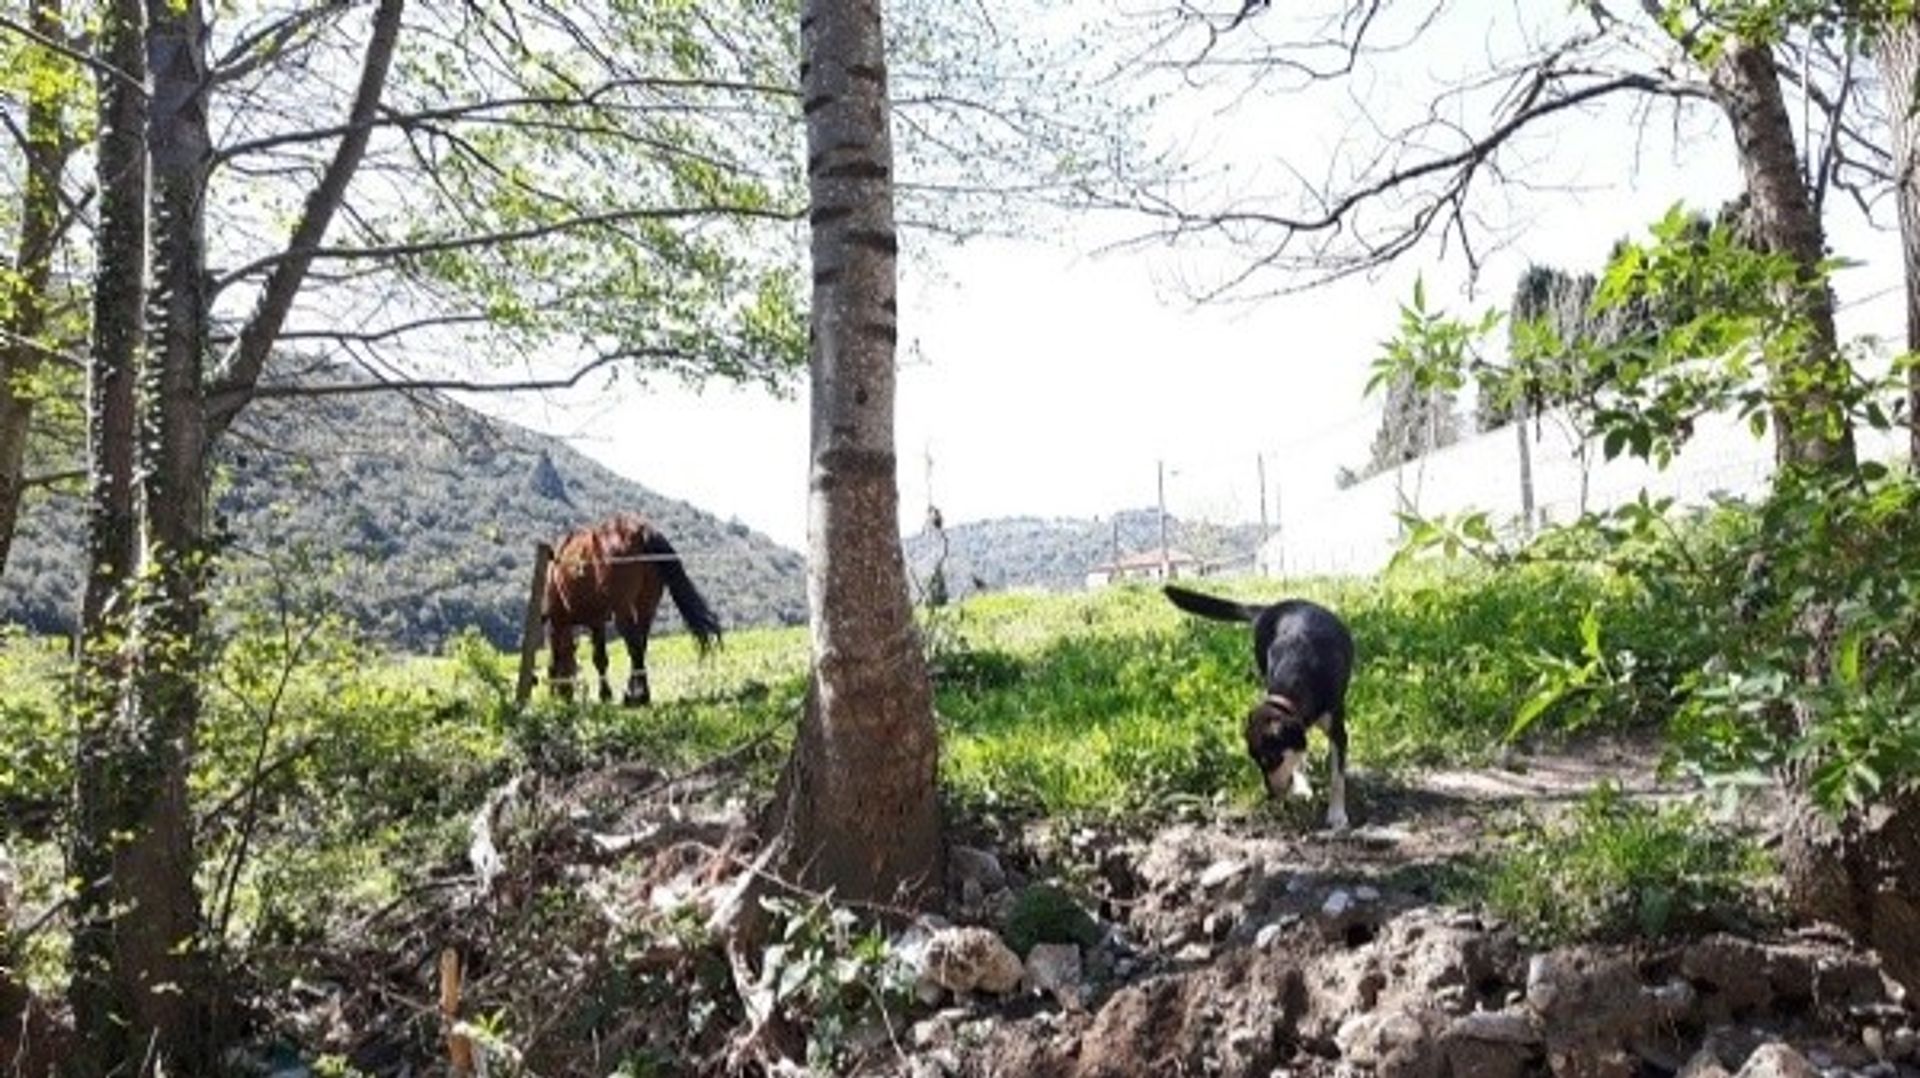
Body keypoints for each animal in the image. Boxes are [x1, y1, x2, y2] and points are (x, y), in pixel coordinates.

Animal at [545, 511, 721, 707]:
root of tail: (642, 532)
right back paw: (638, 694)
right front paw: (605, 694)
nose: (562, 694)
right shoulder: (597, 622)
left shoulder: (559, 620)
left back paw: (636, 696)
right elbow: (600, 658)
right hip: (646, 607)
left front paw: (605, 694)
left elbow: (569, 655)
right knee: (640, 646)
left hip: (622, 611)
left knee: (634, 647)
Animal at [1159, 584, 1359, 826]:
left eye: (1272, 760)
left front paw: (1337, 814)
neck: (1296, 681)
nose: (1270, 796)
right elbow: (1299, 756)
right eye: (1257, 762)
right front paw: (1302, 786)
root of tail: (1269, 608)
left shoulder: (1338, 731)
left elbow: (1337, 777)